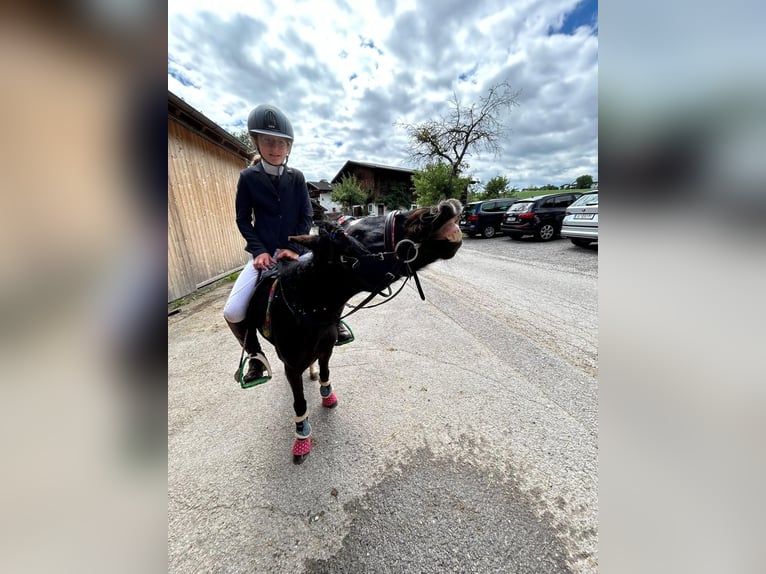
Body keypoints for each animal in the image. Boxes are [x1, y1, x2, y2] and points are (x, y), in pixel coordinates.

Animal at [244, 198, 462, 464]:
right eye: (356, 235)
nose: (440, 209)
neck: (305, 308)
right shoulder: (291, 367)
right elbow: (299, 402)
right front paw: (302, 438)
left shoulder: (326, 350)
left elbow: (325, 372)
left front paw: (327, 395)